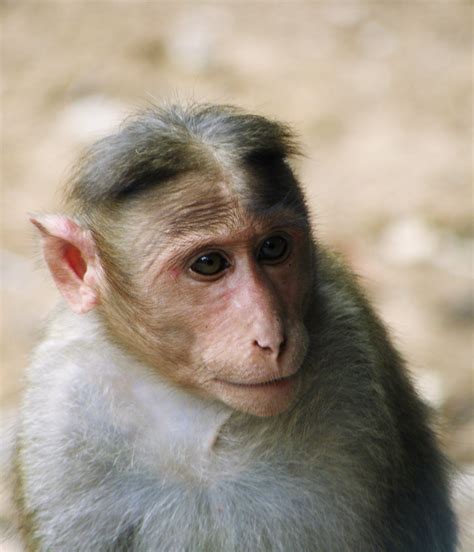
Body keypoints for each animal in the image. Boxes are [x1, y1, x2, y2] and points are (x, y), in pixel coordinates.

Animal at [14, 102, 458, 548]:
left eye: (273, 247)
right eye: (209, 263)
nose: (272, 338)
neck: (195, 412)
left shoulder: (350, 350)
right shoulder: (60, 415)